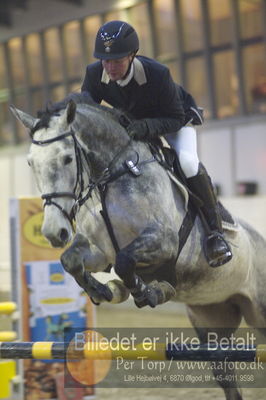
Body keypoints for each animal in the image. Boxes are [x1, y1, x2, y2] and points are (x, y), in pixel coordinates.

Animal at [11, 94, 266, 400]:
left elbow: (125, 261)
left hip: (260, 310)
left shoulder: (164, 242)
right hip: (212, 321)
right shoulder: (99, 251)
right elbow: (71, 260)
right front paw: (104, 291)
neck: (112, 177)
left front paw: (149, 291)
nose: (53, 232)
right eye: (30, 163)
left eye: (67, 158)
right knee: (227, 376)